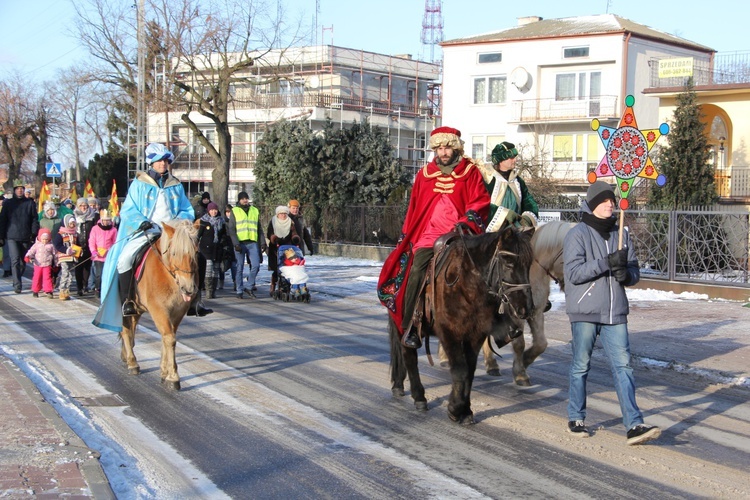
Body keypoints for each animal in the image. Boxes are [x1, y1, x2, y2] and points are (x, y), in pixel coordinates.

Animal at [119, 219, 200, 390]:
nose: (188, 289)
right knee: (125, 330)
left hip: (137, 308)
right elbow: (169, 338)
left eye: (196, 253)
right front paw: (173, 377)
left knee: (132, 329)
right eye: (174, 253)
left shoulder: (177, 312)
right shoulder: (159, 310)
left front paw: (165, 372)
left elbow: (168, 337)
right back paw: (132, 362)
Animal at [390, 227, 536, 426]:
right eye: (508, 262)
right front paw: (455, 409)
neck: (466, 284)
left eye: (529, 264)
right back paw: (418, 397)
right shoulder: (449, 333)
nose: (526, 309)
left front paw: (465, 410)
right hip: (403, 326)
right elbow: (460, 370)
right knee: (409, 355)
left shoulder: (475, 335)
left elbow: (470, 371)